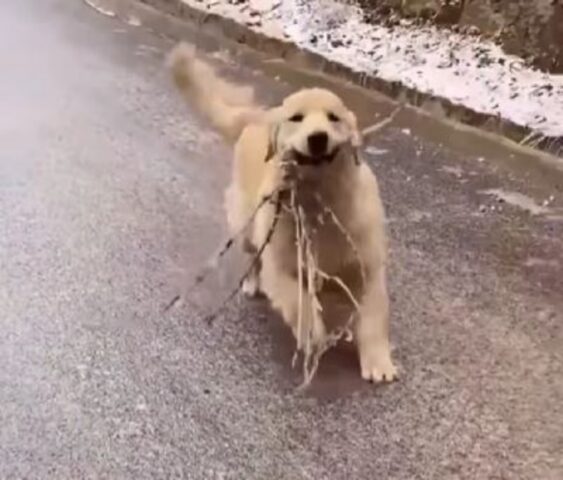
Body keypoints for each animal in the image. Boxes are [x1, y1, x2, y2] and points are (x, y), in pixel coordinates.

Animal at [167, 45, 396, 382]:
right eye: (296, 119)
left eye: (334, 118)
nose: (318, 137)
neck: (319, 203)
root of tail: (259, 115)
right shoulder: (282, 266)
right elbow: (299, 304)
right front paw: (313, 334)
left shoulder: (366, 267)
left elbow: (373, 318)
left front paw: (378, 362)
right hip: (246, 225)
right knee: (253, 258)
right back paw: (251, 284)